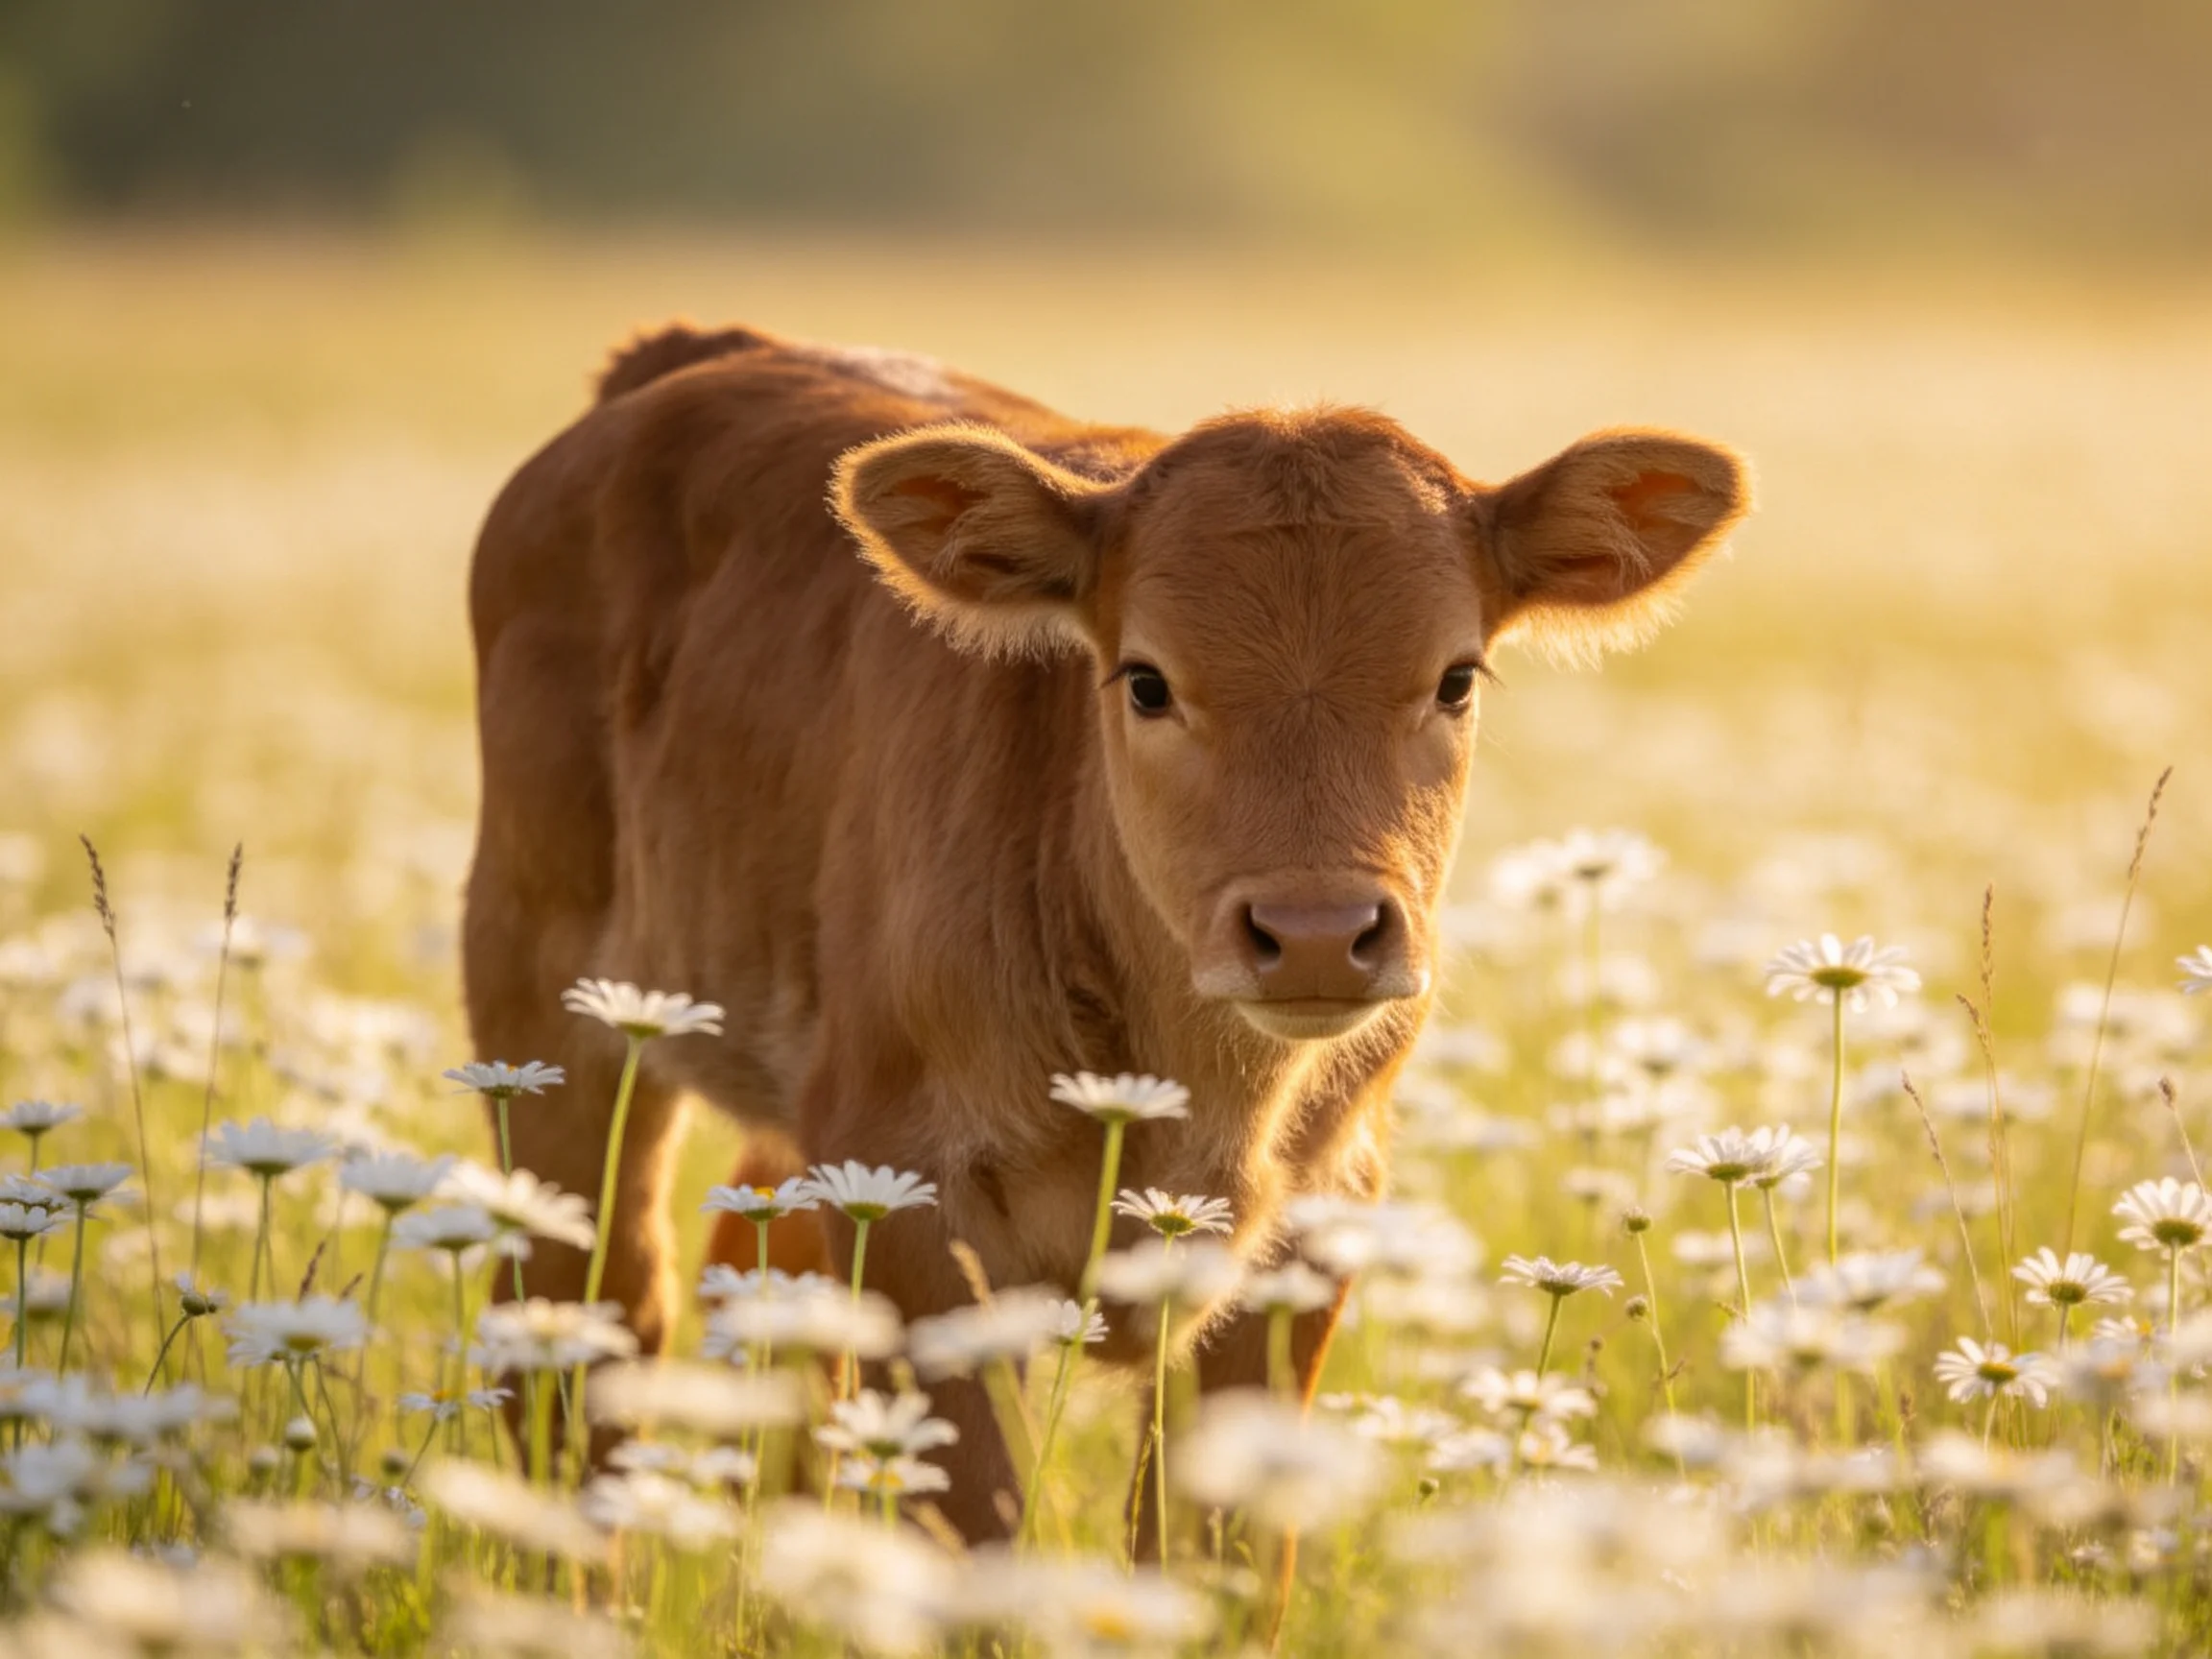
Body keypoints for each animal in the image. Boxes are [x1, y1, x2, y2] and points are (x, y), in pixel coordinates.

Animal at [462, 320, 1749, 1539]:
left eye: (1456, 678)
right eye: (1145, 681)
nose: (1317, 932)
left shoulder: (1317, 1215)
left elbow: (1210, 1550)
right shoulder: (912, 1191)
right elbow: (977, 1528)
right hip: (549, 1011)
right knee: (593, 1326)